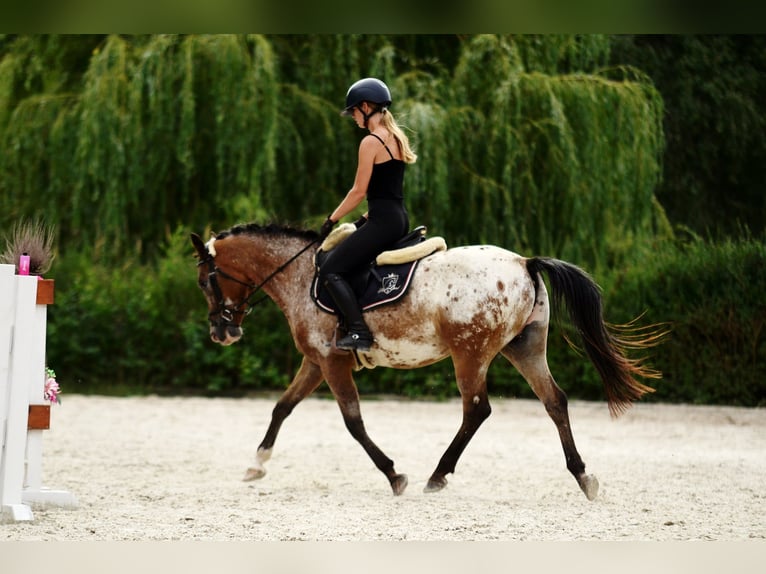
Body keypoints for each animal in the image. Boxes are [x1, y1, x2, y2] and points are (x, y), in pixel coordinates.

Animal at [190, 223, 663, 498]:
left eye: (204, 281)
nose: (221, 332)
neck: (302, 273)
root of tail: (524, 262)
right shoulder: (316, 362)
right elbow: (282, 407)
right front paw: (256, 465)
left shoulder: (332, 363)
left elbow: (353, 422)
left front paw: (394, 475)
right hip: (524, 349)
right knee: (555, 402)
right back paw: (584, 477)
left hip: (470, 354)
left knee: (477, 409)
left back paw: (438, 475)